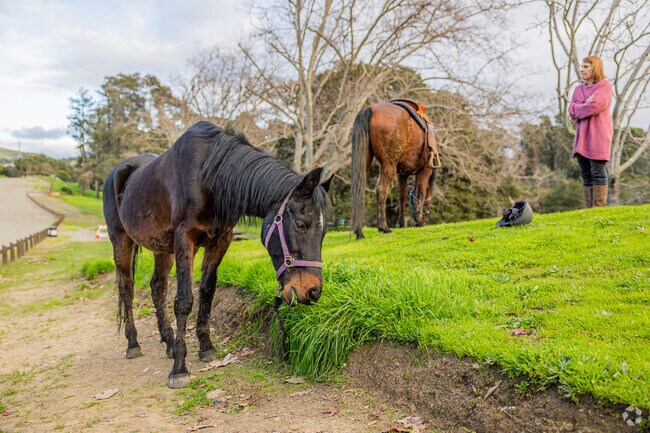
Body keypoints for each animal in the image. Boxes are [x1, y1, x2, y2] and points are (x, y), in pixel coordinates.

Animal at [103, 121, 331, 389]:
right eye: (301, 224)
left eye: (325, 231)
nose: (313, 291)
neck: (209, 177)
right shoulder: (185, 239)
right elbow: (184, 301)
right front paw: (179, 368)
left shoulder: (221, 241)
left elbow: (207, 292)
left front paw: (205, 347)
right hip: (121, 242)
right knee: (126, 289)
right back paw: (133, 343)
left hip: (162, 249)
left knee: (157, 287)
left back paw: (168, 341)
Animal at [350, 101, 440, 239]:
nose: (425, 221)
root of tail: (369, 110)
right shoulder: (424, 171)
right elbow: (420, 192)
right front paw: (418, 220)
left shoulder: (402, 174)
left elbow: (402, 197)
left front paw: (402, 223)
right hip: (389, 165)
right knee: (381, 189)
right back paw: (383, 227)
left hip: (366, 160)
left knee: (359, 190)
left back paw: (359, 231)